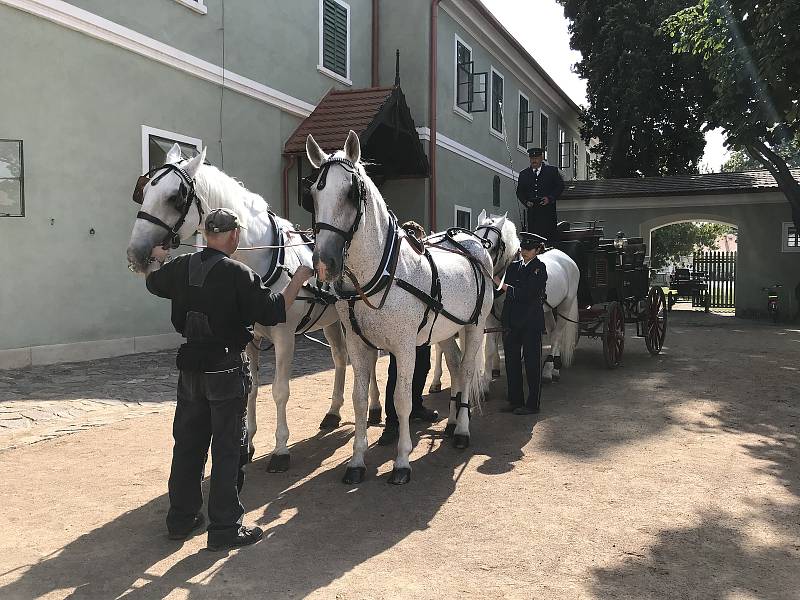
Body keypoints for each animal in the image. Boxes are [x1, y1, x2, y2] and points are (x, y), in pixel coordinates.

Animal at [126, 143, 382, 472]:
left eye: (174, 197)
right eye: (145, 191)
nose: (136, 253)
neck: (259, 257)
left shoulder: (284, 338)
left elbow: (280, 391)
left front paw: (280, 449)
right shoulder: (249, 338)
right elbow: (251, 388)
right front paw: (246, 444)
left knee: (368, 361)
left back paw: (374, 407)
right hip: (332, 322)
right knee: (340, 359)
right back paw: (333, 412)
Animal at [308, 130, 490, 482]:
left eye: (351, 193)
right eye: (313, 193)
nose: (324, 263)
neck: (381, 274)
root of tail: (471, 242)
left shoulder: (405, 347)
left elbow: (403, 399)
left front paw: (402, 461)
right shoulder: (359, 345)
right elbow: (360, 399)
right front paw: (357, 461)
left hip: (474, 326)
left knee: (468, 368)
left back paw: (462, 430)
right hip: (446, 330)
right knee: (456, 366)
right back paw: (450, 423)